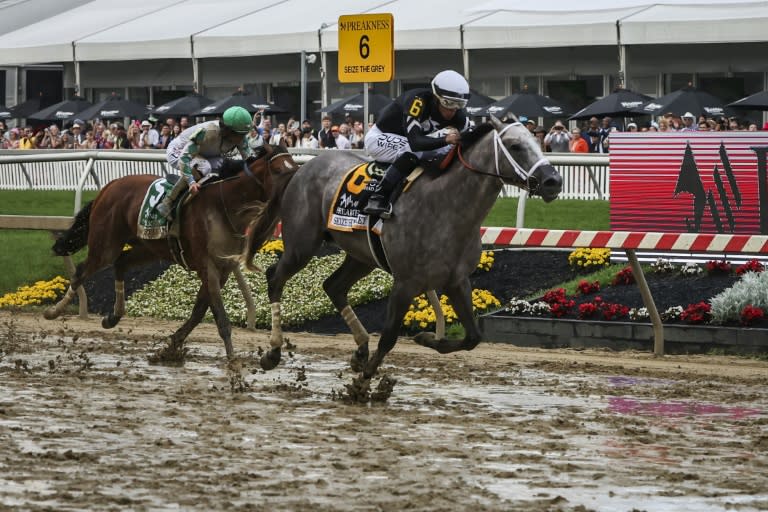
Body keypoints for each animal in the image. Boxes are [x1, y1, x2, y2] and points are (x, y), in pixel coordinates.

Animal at [45, 144, 296, 360]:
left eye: (293, 166)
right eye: (277, 169)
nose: (290, 192)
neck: (225, 205)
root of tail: (110, 185)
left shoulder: (223, 269)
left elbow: (199, 312)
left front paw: (171, 346)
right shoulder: (208, 267)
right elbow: (220, 318)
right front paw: (233, 362)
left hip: (150, 248)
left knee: (121, 262)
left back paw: (113, 317)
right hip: (106, 244)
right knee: (82, 271)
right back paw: (53, 312)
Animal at [243, 117, 560, 380]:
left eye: (537, 141)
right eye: (516, 146)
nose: (553, 181)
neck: (447, 207)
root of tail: (300, 170)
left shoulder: (457, 280)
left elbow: (473, 337)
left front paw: (426, 338)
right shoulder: (406, 282)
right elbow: (389, 337)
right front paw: (364, 384)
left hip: (361, 255)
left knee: (333, 286)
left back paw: (360, 349)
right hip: (302, 244)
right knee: (275, 277)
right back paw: (273, 351)